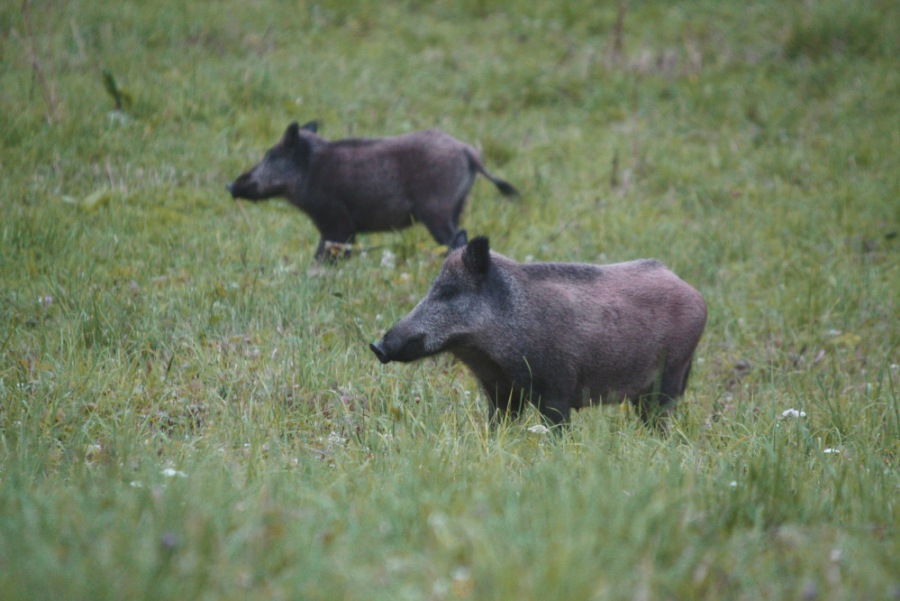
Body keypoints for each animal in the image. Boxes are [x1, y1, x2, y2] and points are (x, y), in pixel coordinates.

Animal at [227, 121, 518, 260]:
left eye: (271, 155)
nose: (230, 185)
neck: (308, 172)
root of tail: (468, 151)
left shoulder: (336, 222)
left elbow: (328, 253)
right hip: (455, 206)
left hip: (436, 209)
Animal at [369, 235, 707, 429]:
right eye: (433, 287)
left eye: (449, 291)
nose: (377, 346)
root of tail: (696, 295)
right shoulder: (500, 394)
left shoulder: (556, 389)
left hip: (669, 375)